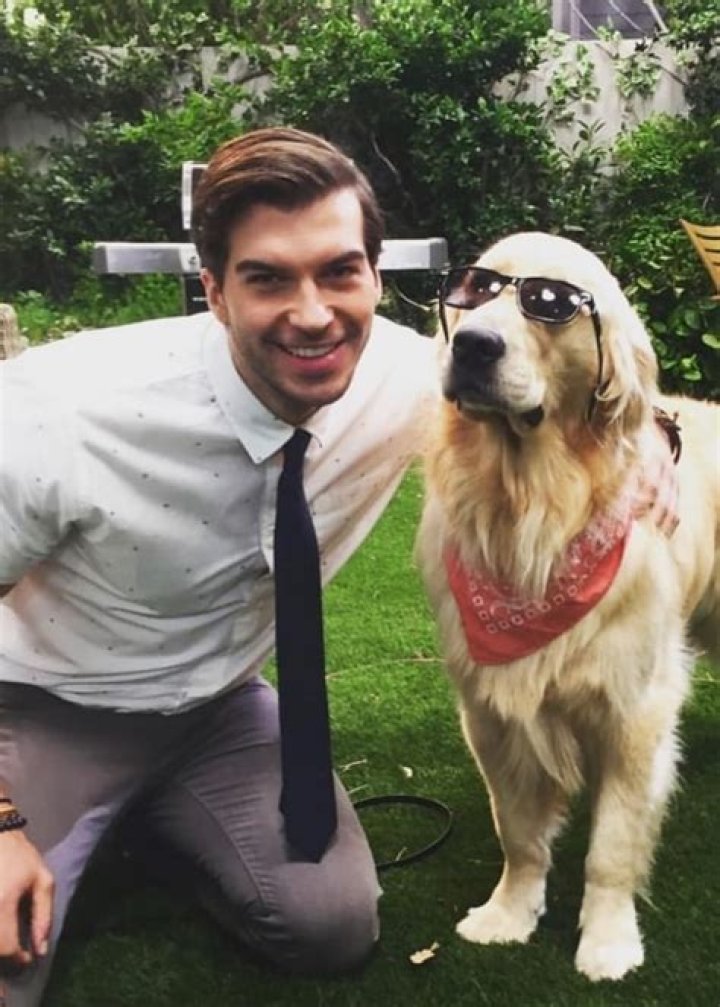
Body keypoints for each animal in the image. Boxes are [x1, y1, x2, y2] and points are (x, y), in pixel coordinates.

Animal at [415, 231, 719, 981]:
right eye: (474, 289)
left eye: (548, 303)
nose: (474, 346)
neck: (533, 515)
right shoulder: (489, 709)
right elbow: (519, 829)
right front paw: (509, 913)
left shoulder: (635, 707)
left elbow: (612, 843)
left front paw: (607, 939)